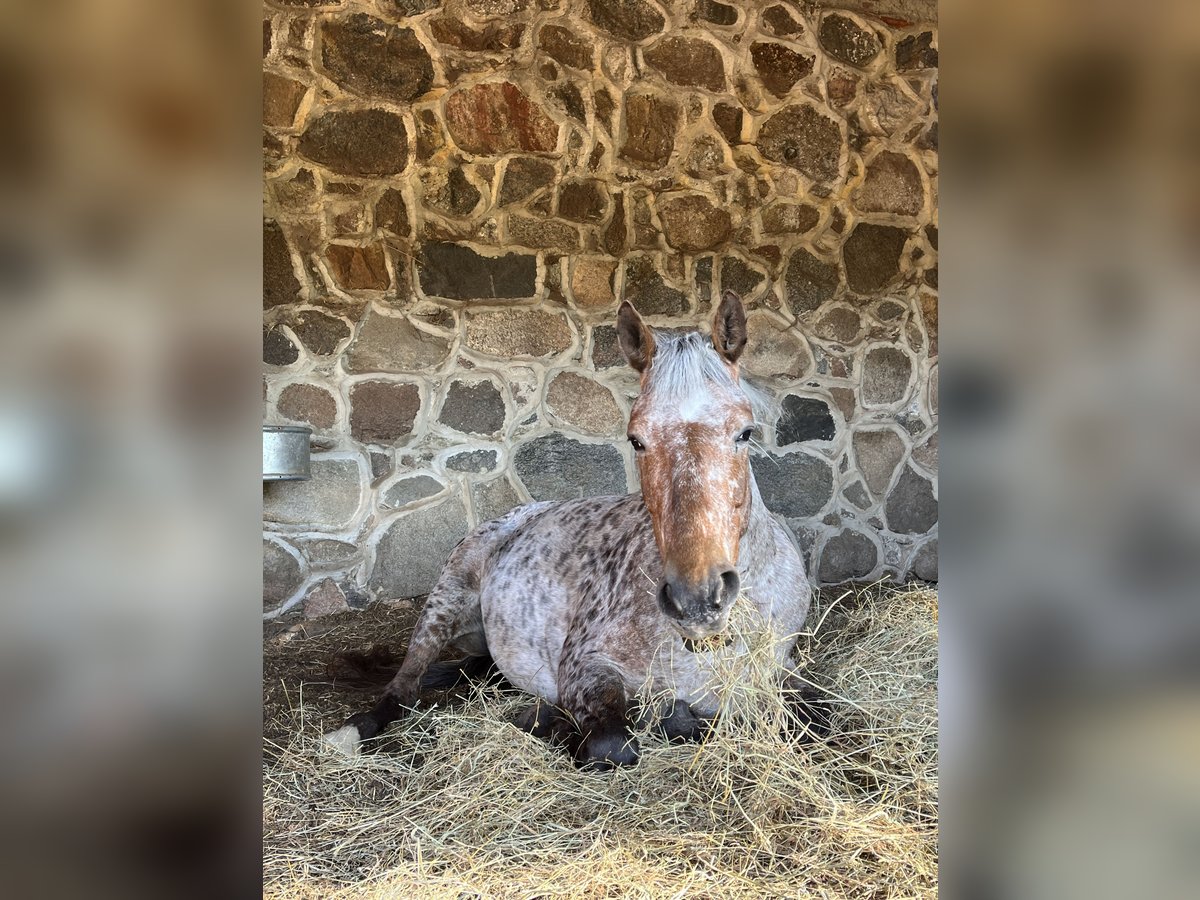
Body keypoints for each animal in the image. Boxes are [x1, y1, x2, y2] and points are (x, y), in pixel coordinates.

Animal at [326, 292, 816, 772]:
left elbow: (813, 716)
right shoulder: (585, 666)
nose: (695, 598)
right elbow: (614, 743)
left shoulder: (784, 674)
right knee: (403, 687)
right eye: (636, 439)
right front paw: (564, 723)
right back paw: (356, 730)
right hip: (441, 607)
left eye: (745, 432)